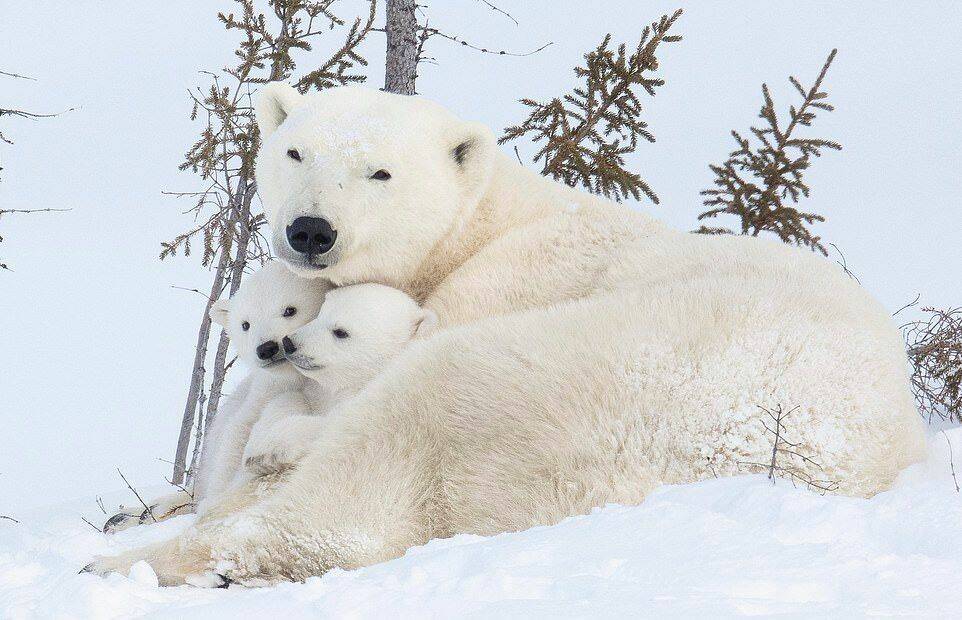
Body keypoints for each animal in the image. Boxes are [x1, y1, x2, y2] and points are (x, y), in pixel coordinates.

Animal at [86, 85, 928, 584]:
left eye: (380, 173)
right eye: (295, 151)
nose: (311, 230)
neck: (479, 228)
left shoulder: (495, 287)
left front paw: (261, 452)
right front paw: (150, 500)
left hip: (581, 381)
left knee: (366, 476)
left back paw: (141, 566)